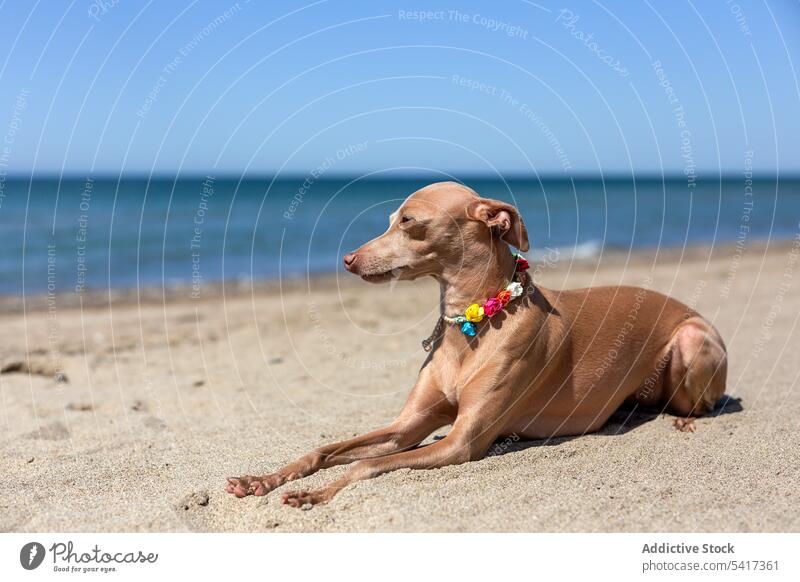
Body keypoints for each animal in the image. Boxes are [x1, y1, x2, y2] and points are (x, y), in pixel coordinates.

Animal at [225, 181, 724, 506]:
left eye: (409, 221)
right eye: (390, 220)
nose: (348, 259)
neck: (471, 325)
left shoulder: (463, 443)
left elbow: (363, 467)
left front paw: (315, 494)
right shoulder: (408, 427)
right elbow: (325, 450)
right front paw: (262, 480)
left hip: (691, 339)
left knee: (700, 403)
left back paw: (682, 419)